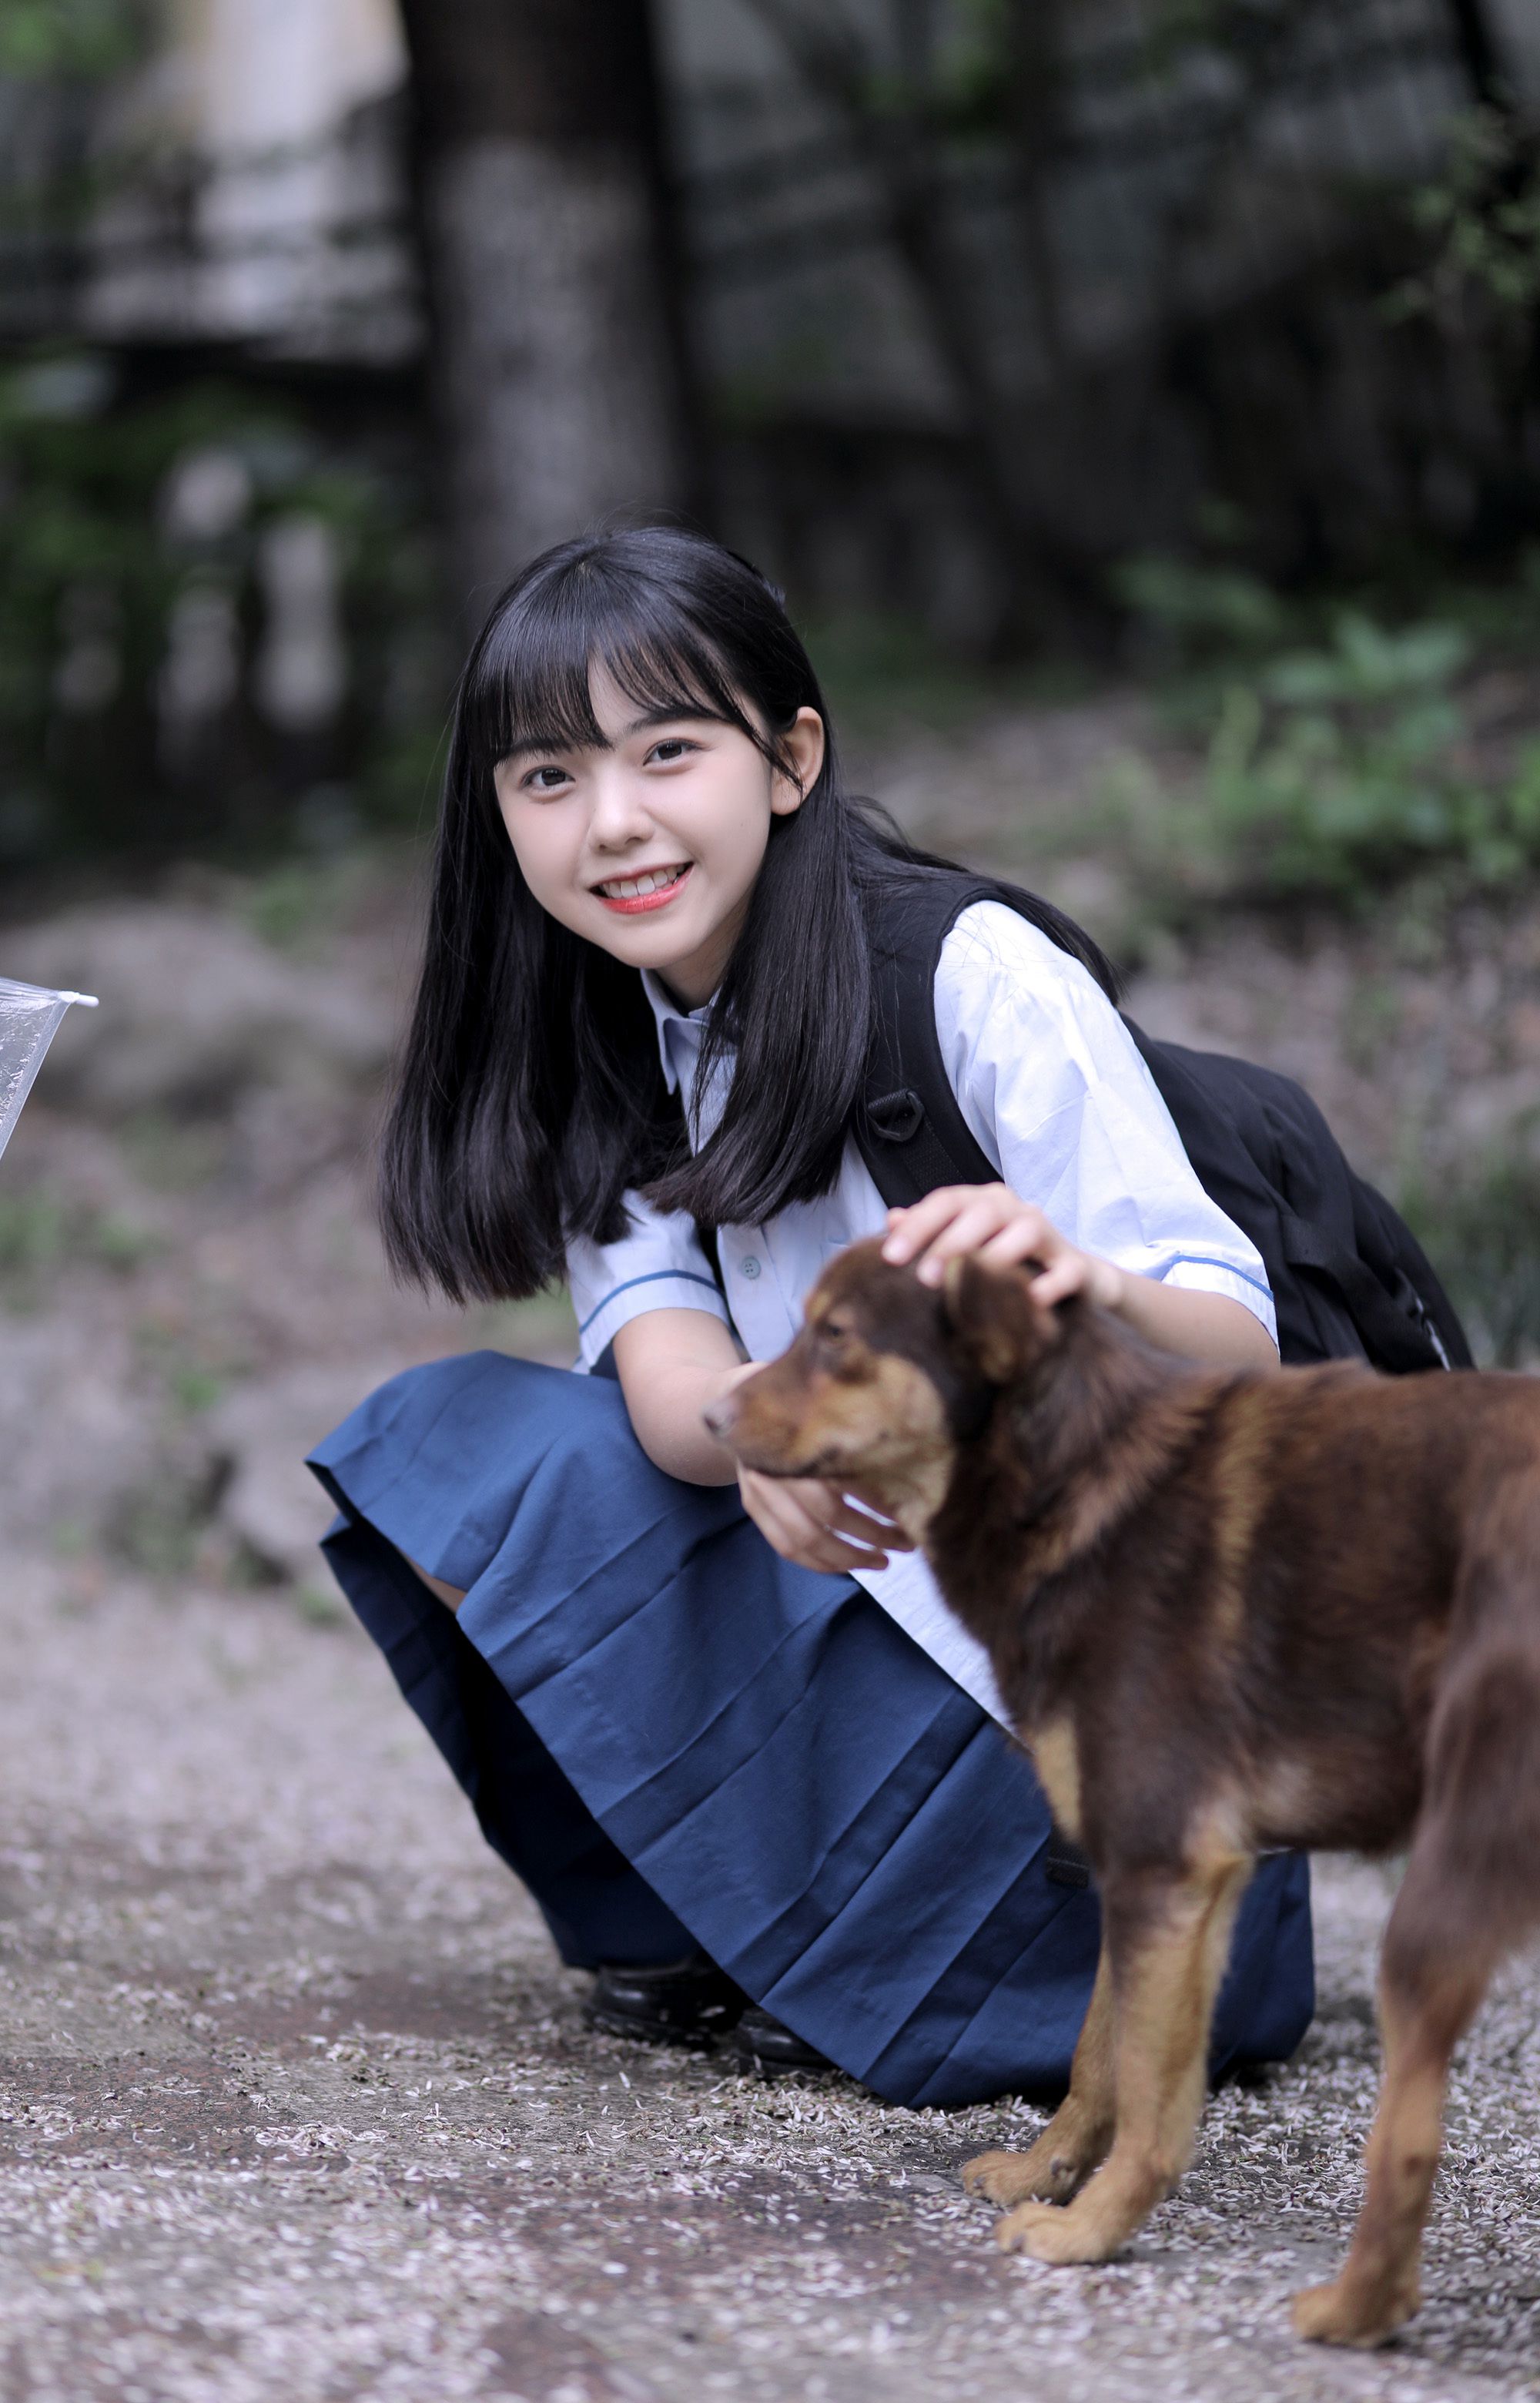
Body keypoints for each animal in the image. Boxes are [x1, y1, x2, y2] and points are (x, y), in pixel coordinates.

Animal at [711, 1239, 1540, 2345]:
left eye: (834, 1336)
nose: (708, 1416)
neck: (1067, 1479)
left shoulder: (1164, 1864)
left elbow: (1150, 2096)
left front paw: (1090, 2232)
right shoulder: (1144, 1876)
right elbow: (1096, 2053)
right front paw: (1045, 2176)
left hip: (1435, 1902)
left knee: (1405, 2135)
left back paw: (1358, 2307)